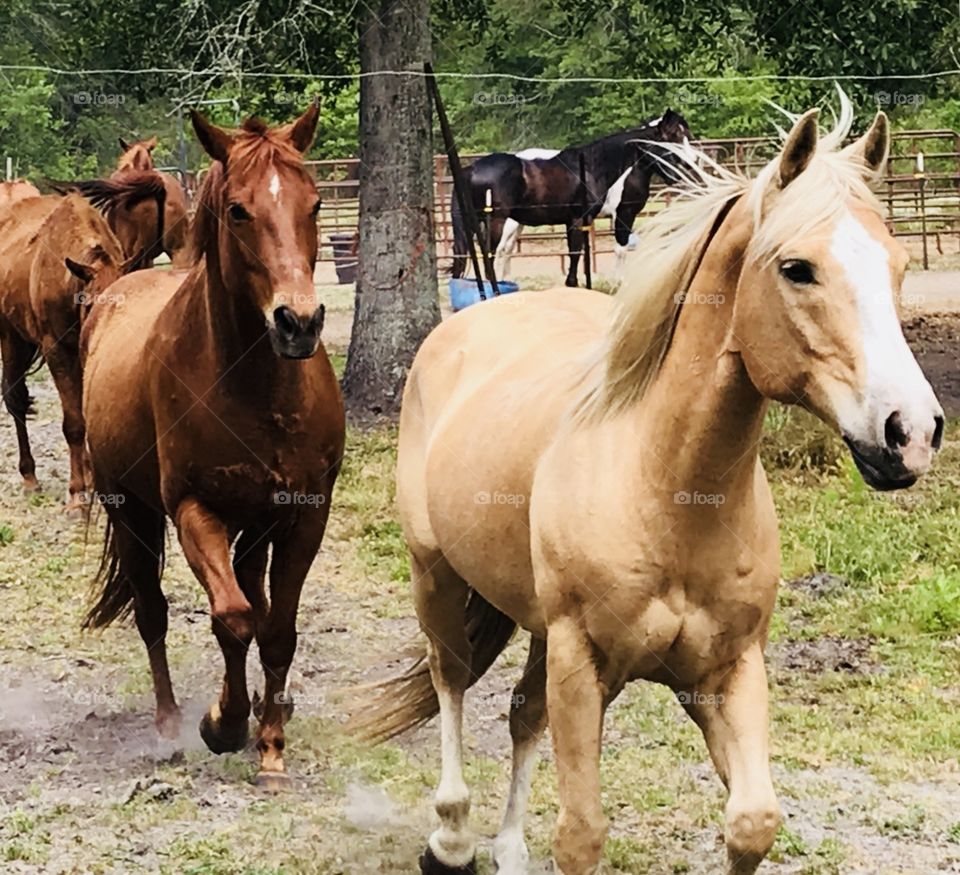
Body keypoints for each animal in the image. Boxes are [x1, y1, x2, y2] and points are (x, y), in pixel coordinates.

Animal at [0, 177, 165, 511]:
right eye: (88, 303)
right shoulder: (56, 349)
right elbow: (74, 422)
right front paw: (77, 493)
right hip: (11, 337)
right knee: (14, 399)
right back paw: (29, 475)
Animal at [450, 111, 693, 287]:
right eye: (672, 138)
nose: (688, 165)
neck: (592, 168)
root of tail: (471, 168)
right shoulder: (615, 214)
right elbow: (602, 251)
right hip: (498, 222)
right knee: (493, 254)